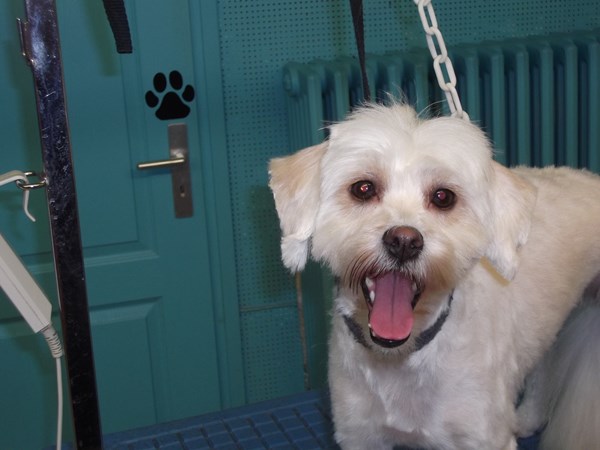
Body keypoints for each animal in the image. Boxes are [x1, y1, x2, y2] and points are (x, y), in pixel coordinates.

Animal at [269, 102, 600, 450]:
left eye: (443, 197)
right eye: (363, 188)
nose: (403, 241)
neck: (402, 357)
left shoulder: (482, 435)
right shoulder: (361, 434)